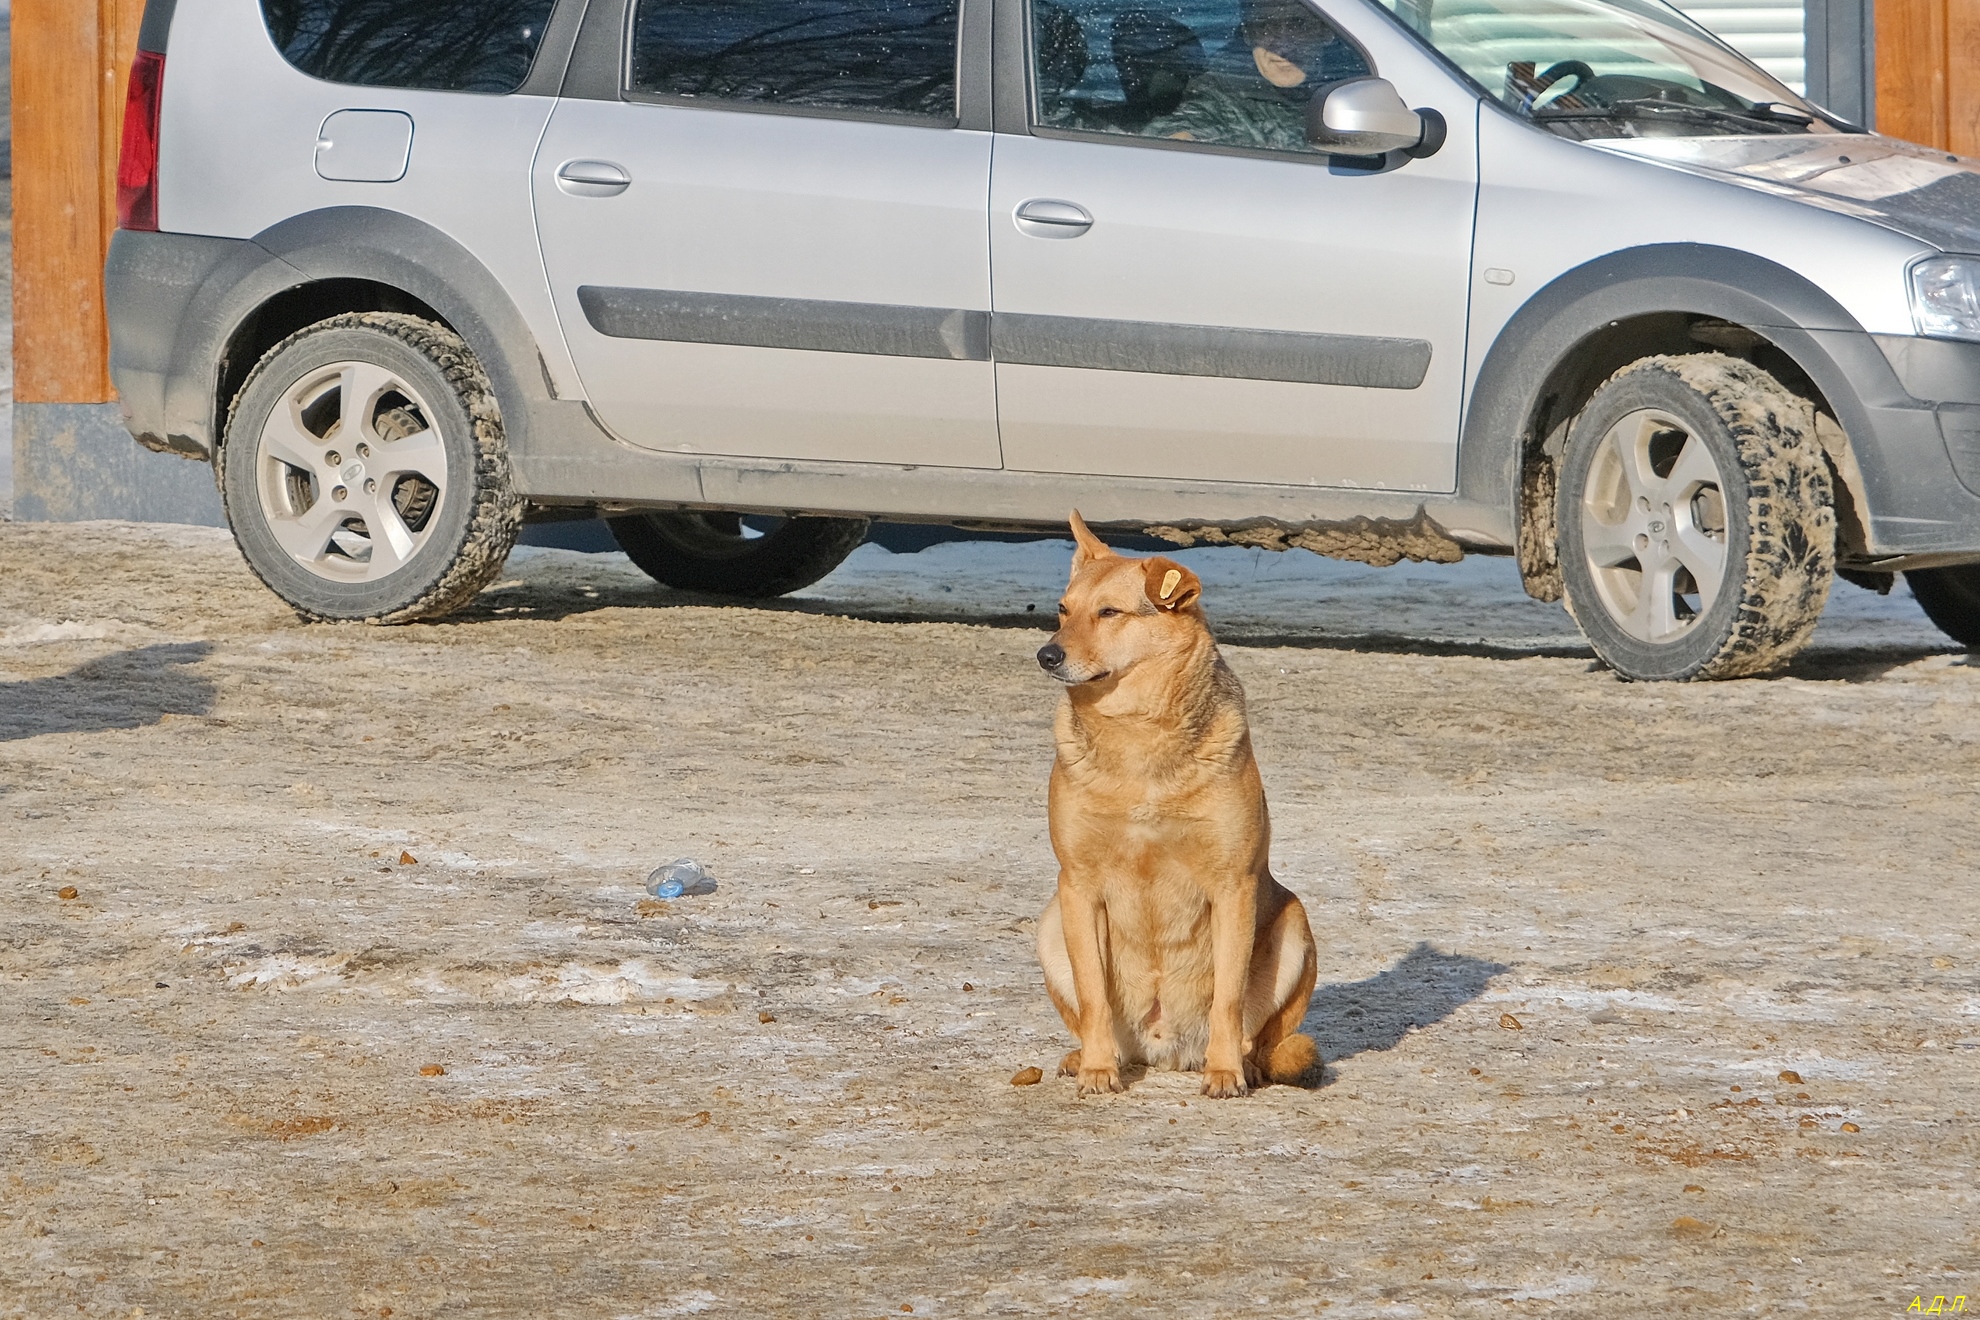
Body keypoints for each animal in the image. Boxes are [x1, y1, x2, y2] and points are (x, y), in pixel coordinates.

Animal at [1029, 510, 1322, 1100]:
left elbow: (1228, 997)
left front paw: (1225, 1072)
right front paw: (1097, 1069)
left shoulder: (1232, 887)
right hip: (1051, 924)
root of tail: (1165, 1050)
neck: (1139, 740)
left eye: (1109, 612)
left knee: (1263, 1038)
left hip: (1295, 927)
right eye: (1063, 610)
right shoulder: (1078, 885)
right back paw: (1088, 1056)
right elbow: (1093, 994)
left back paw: (1242, 1063)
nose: (1047, 655)